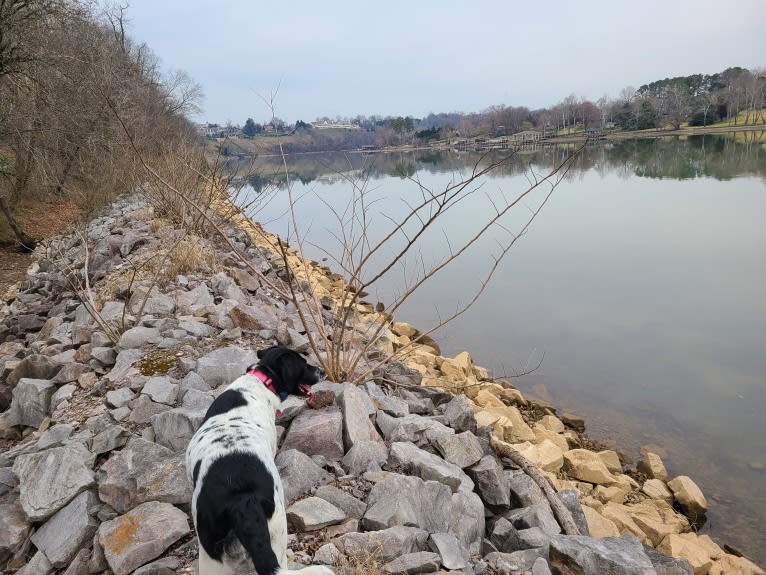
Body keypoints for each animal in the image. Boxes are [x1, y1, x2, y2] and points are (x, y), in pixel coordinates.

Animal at [188, 346, 334, 575]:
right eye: (303, 363)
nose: (322, 371)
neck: (260, 380)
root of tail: (241, 500)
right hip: (278, 536)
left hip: (210, 557)